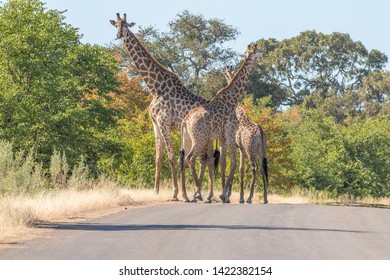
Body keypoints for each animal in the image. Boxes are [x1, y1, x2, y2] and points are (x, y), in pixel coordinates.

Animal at [109, 13, 207, 201]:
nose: (118, 35)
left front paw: (175, 193)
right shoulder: (155, 123)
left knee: (202, 158)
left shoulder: (164, 122)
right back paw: (196, 193)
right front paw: (156, 191)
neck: (154, 86)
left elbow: (171, 156)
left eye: (126, 26)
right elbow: (158, 157)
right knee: (199, 158)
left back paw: (198, 194)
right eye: (116, 24)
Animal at [181, 43, 262, 202]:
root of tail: (186, 121)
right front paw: (224, 195)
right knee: (191, 158)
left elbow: (224, 163)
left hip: (189, 138)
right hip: (200, 139)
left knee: (186, 158)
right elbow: (233, 163)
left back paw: (191, 195)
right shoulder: (230, 134)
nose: (262, 54)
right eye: (256, 52)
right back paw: (197, 193)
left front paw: (223, 194)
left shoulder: (223, 138)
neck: (232, 100)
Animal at [224, 67, 266, 205]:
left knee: (254, 167)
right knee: (262, 167)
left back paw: (249, 198)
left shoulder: (236, 146)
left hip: (250, 149)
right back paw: (265, 198)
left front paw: (230, 196)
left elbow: (235, 166)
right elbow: (241, 168)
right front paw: (240, 197)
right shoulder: (241, 148)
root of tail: (259, 133)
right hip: (260, 149)